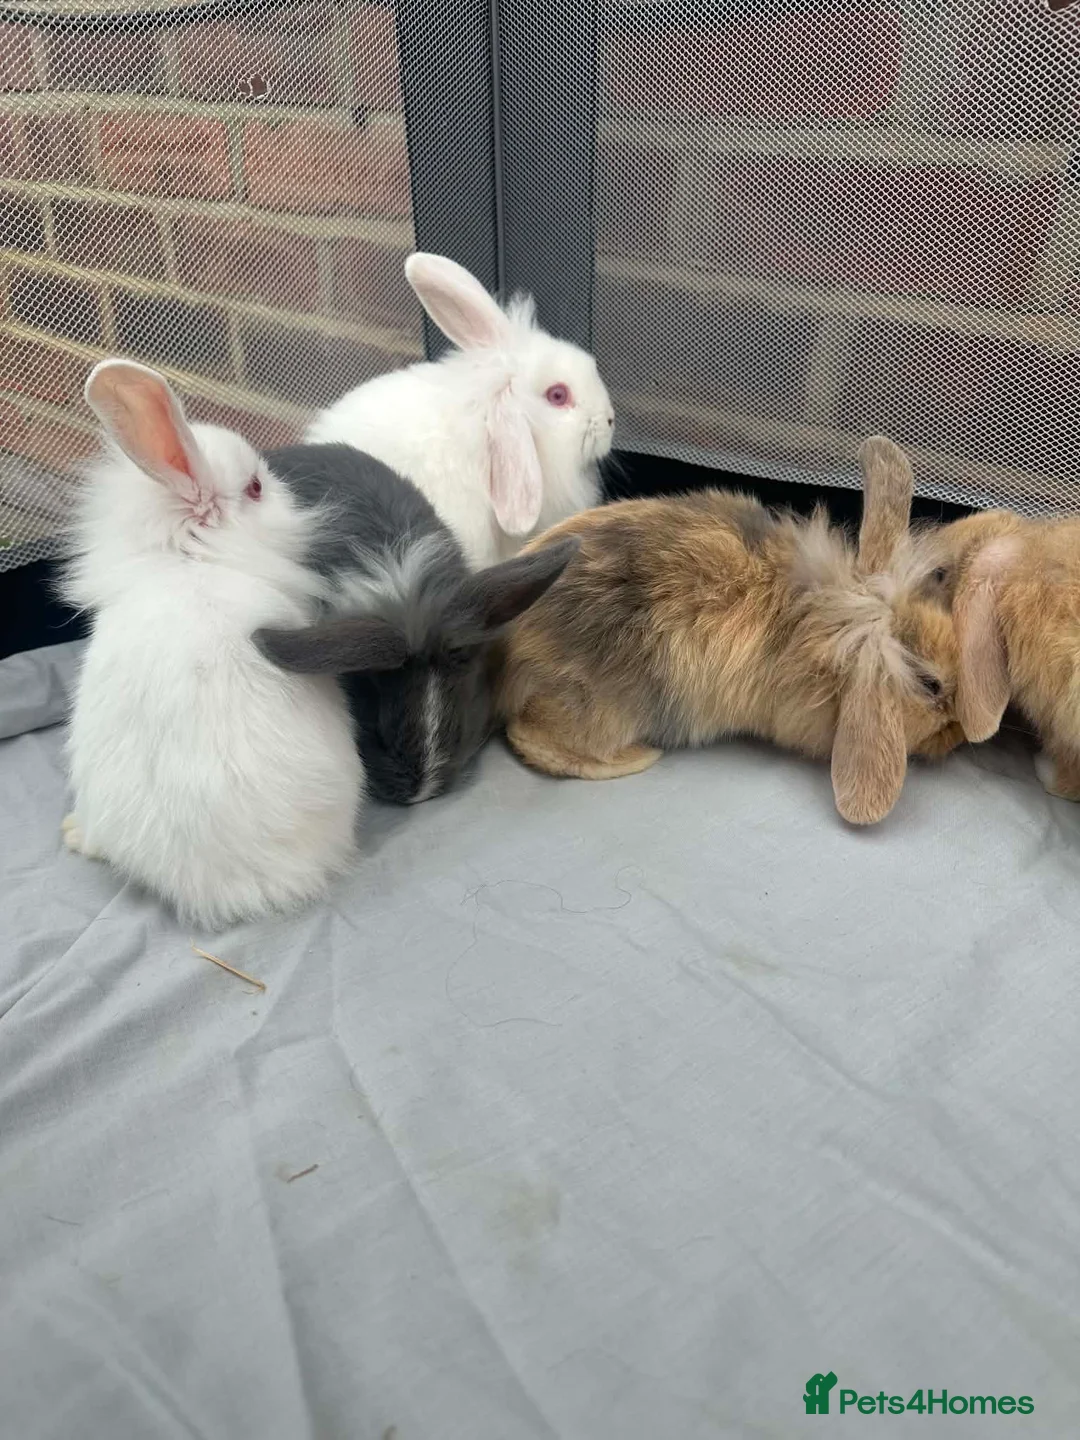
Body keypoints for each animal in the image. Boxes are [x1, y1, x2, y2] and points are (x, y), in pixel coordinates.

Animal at [495, 436, 965, 825]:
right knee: (531, 737)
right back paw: (637, 757)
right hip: (600, 706)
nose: (959, 738)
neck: (821, 621)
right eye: (932, 686)